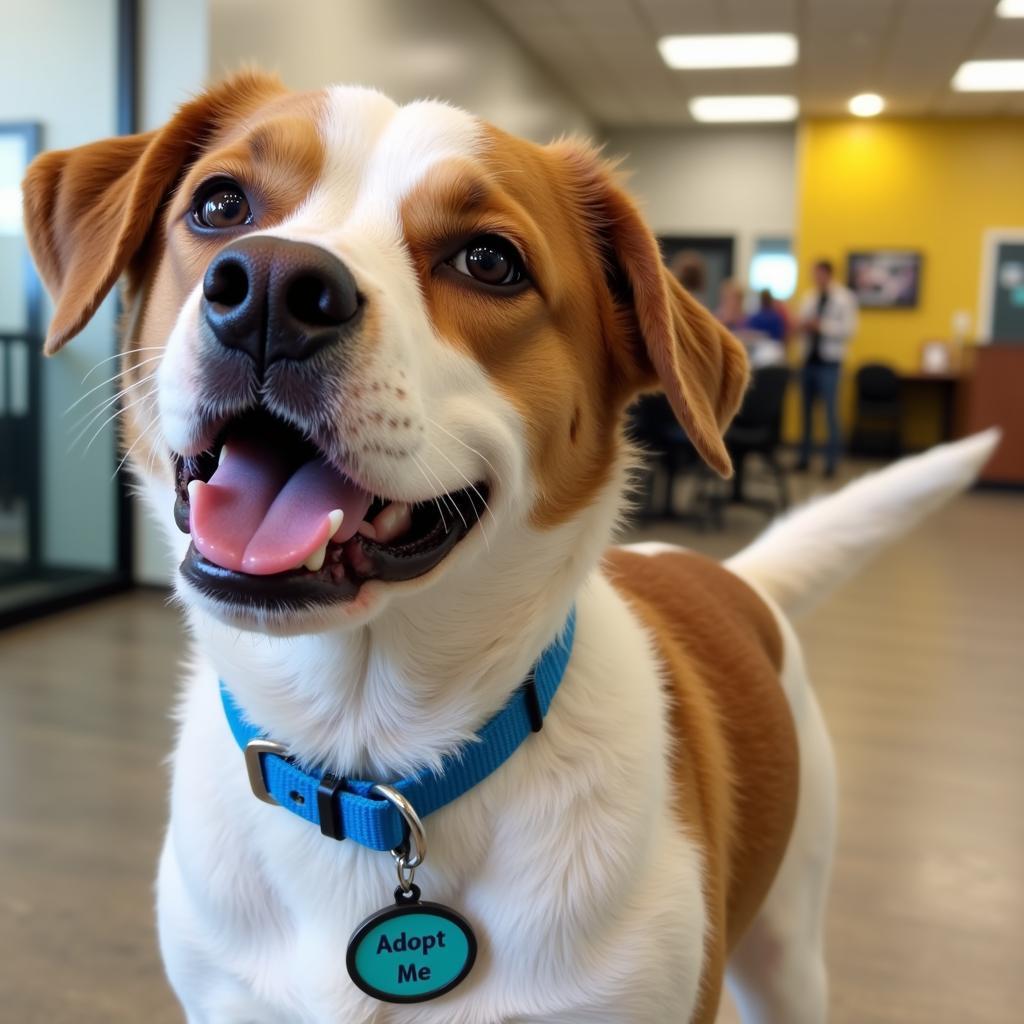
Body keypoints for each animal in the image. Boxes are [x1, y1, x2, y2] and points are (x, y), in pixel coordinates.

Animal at [24, 68, 999, 1019]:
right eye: (219, 204)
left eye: (489, 261)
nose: (269, 285)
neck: (367, 759)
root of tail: (723, 574)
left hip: (791, 949)